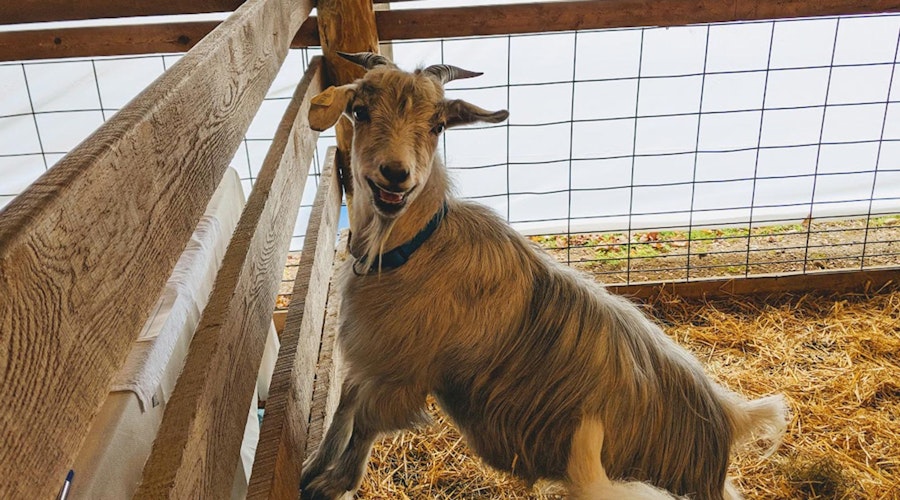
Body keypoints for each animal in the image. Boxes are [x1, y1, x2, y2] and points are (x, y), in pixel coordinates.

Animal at [300, 52, 788, 500]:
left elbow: (363, 424)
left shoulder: (401, 373)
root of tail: (728, 419)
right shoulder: (368, 358)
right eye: (361, 110)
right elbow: (343, 410)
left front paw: (329, 484)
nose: (395, 176)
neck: (414, 245)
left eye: (437, 125)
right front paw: (311, 468)